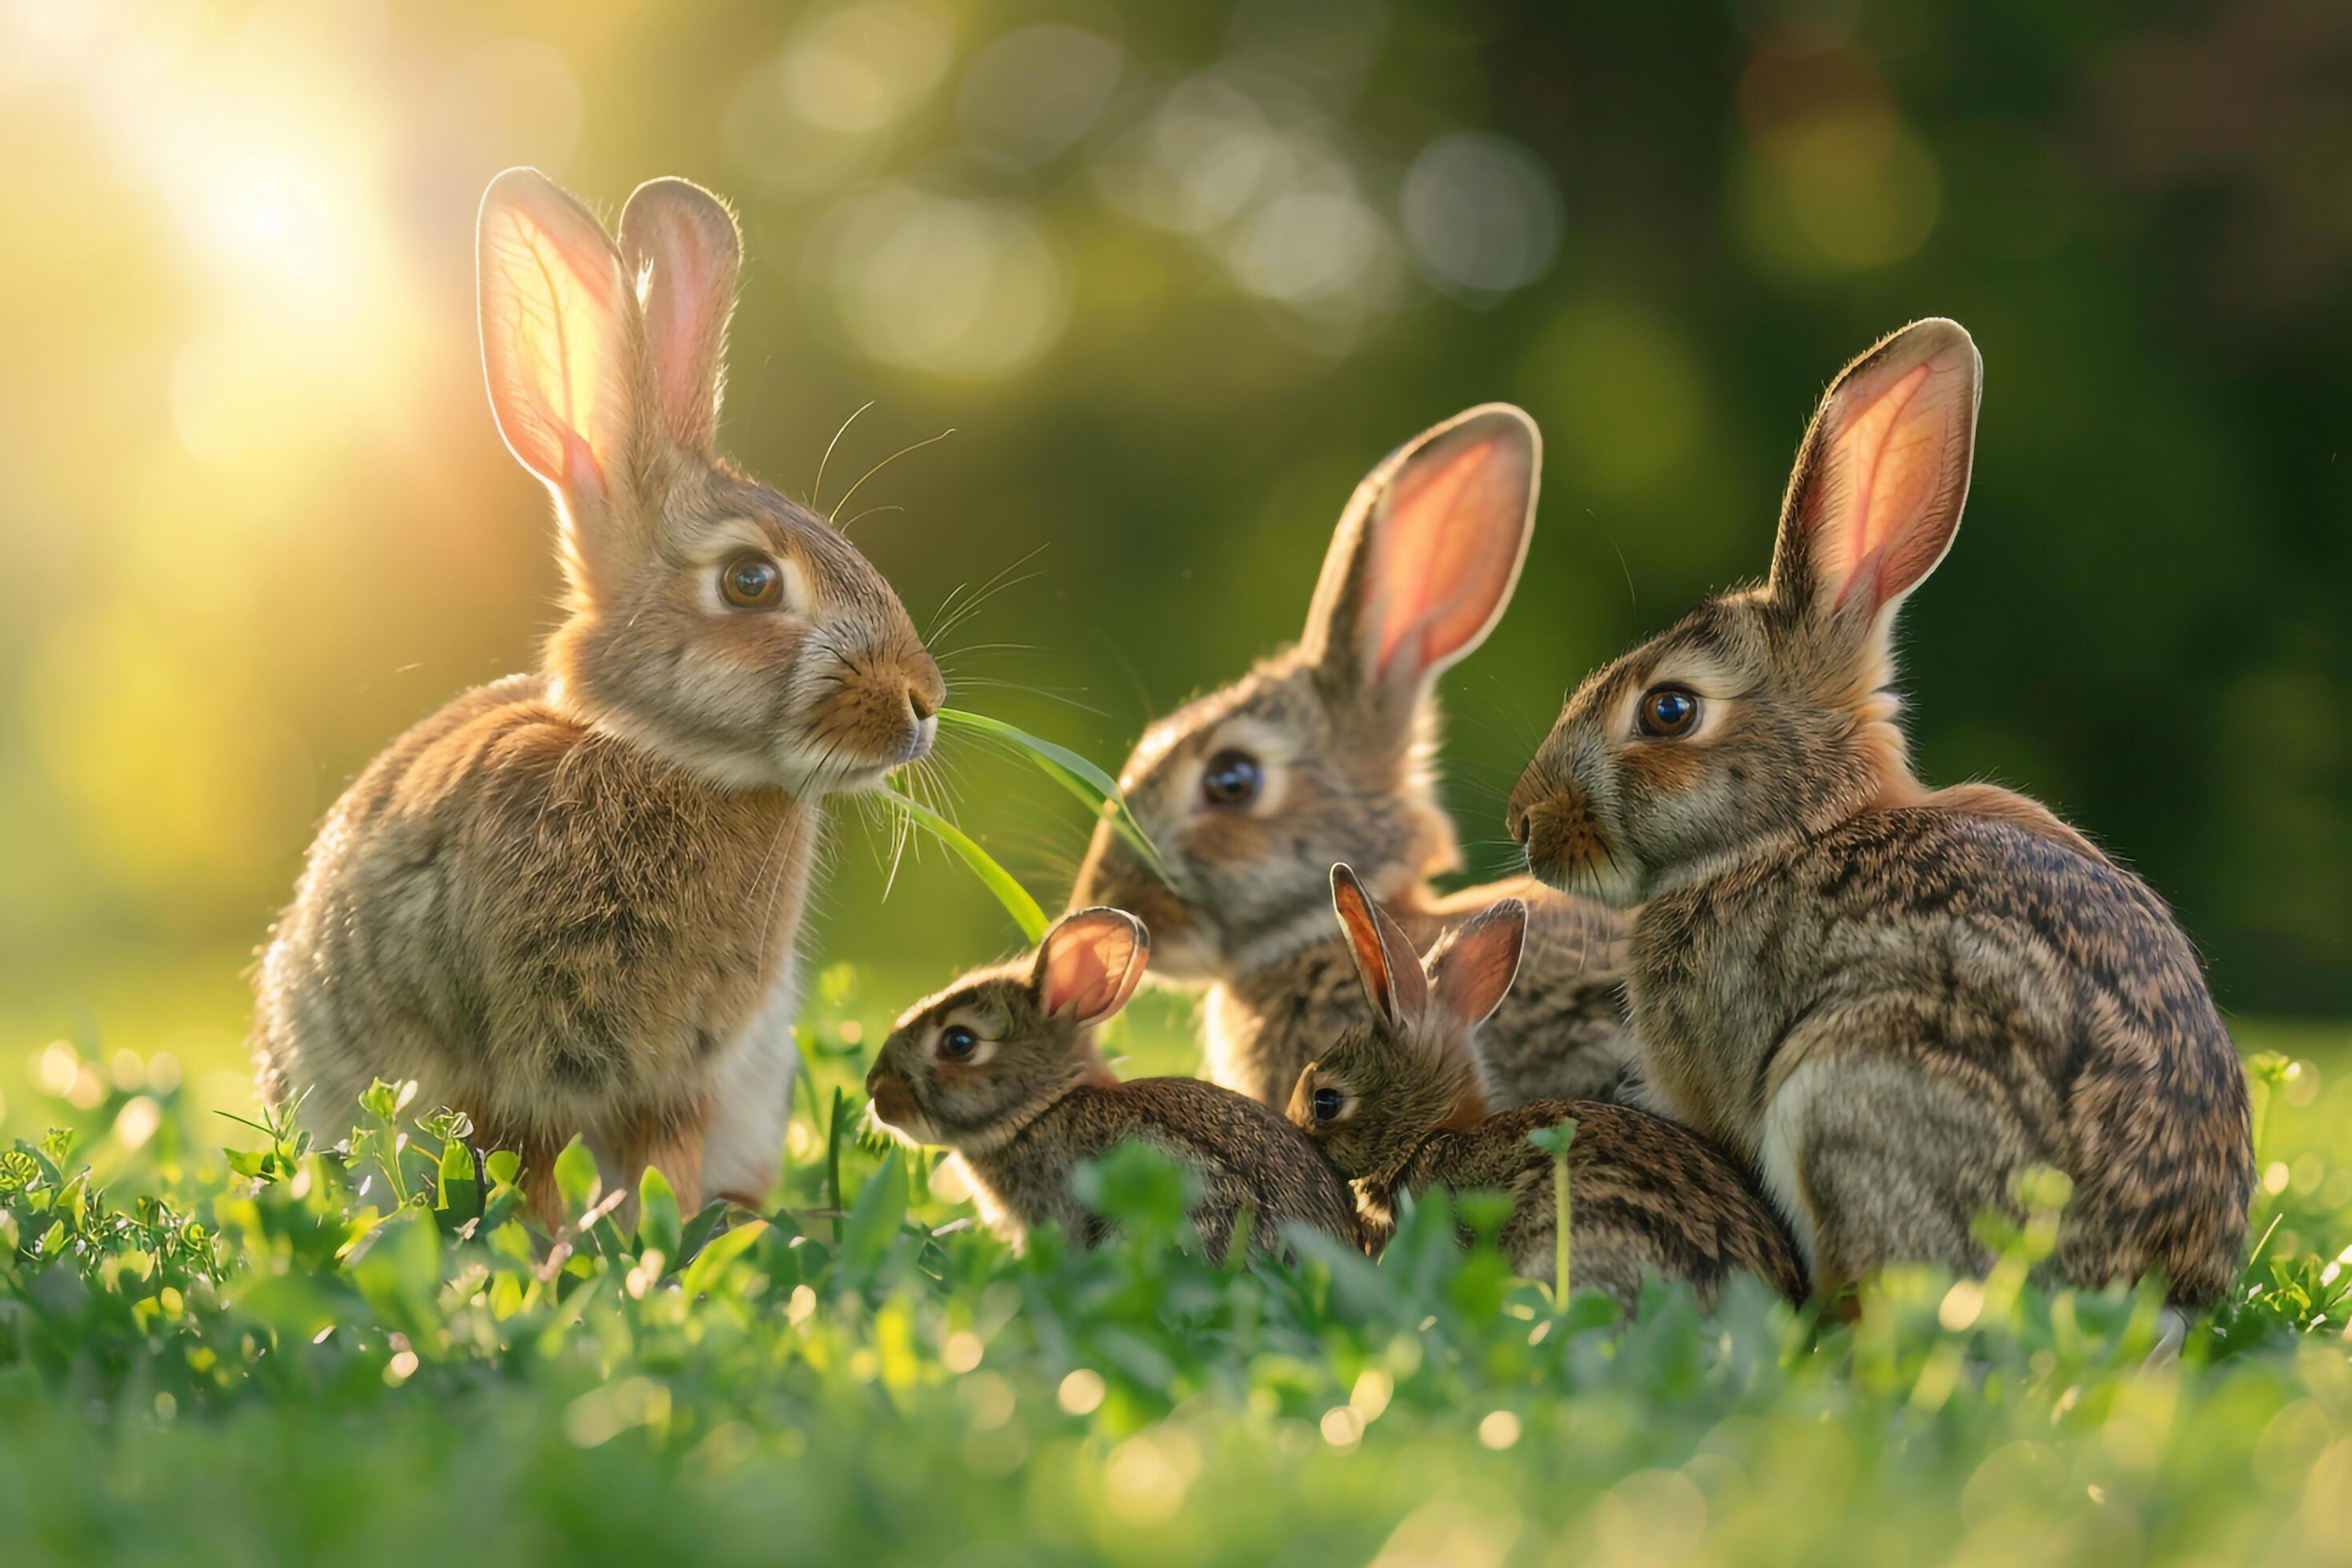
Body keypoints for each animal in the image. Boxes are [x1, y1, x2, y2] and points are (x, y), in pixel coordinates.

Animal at [257, 171, 945, 1222]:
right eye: (750, 581)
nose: (924, 701)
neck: (655, 755)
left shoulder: (681, 1079)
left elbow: (660, 1172)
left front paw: (655, 1244)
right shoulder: (513, 1074)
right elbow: (526, 1175)